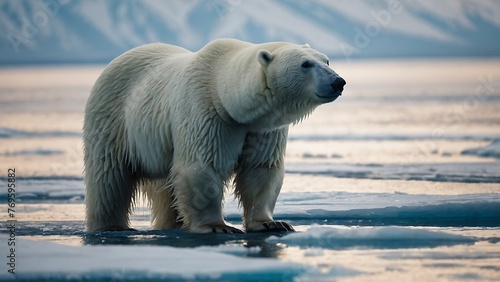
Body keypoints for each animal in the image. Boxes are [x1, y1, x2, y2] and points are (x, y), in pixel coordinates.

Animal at [84, 39, 346, 234]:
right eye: (305, 64)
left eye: (326, 60)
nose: (338, 82)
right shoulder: (207, 113)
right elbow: (202, 167)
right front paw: (217, 226)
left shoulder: (263, 129)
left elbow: (260, 169)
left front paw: (271, 223)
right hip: (113, 119)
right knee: (109, 177)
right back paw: (111, 226)